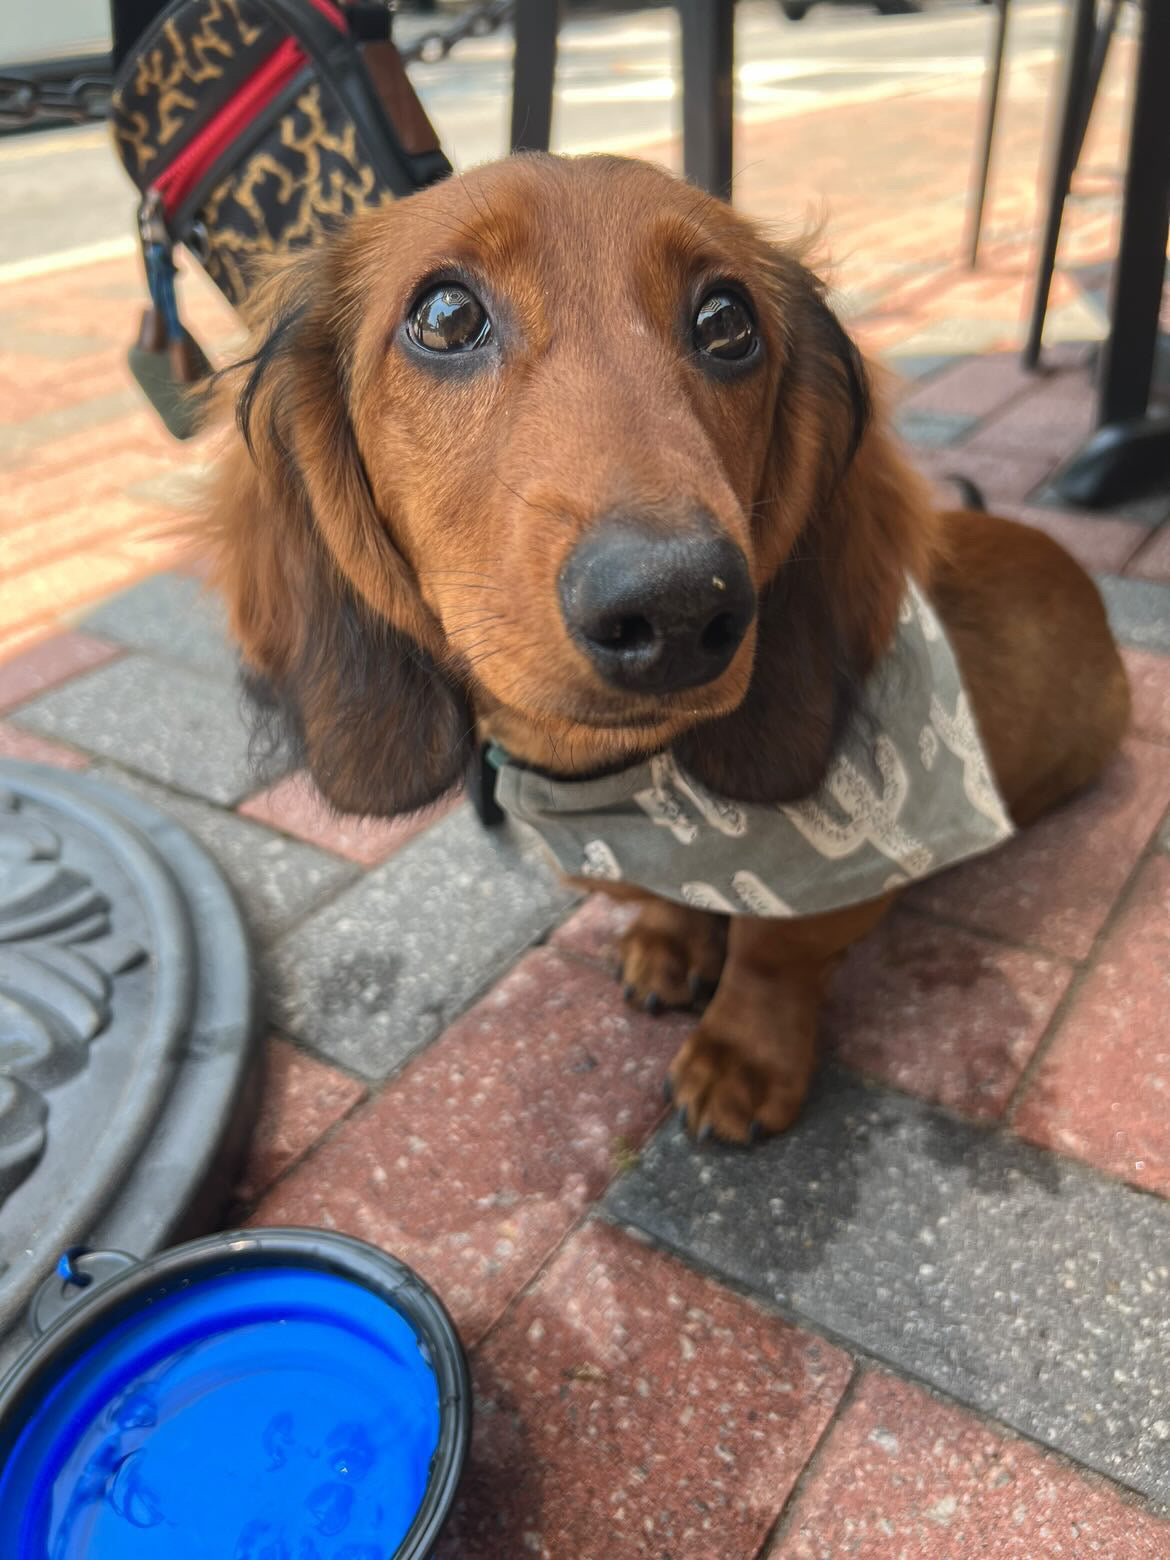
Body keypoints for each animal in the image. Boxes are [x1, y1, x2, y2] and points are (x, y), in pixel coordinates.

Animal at [205, 152, 1129, 1141]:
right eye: (445, 315)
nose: (681, 606)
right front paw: (668, 942)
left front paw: (742, 1056)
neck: (631, 787)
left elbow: (772, 951)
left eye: (727, 322)